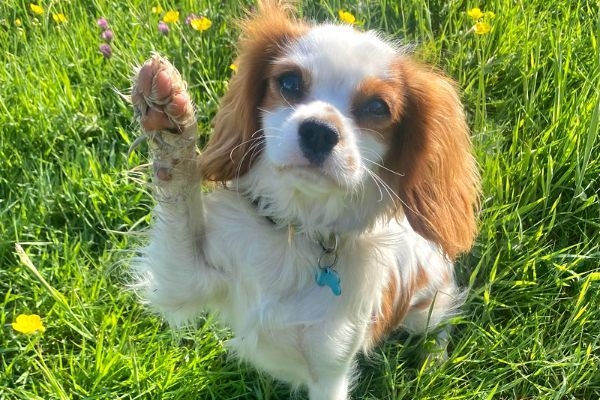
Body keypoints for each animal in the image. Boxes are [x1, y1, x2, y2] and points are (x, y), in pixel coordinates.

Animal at [129, 1, 480, 398]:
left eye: (378, 107)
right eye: (289, 83)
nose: (319, 131)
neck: (297, 229)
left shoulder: (329, 371)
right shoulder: (182, 278)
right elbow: (179, 200)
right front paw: (169, 117)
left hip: (427, 303)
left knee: (443, 317)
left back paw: (433, 357)